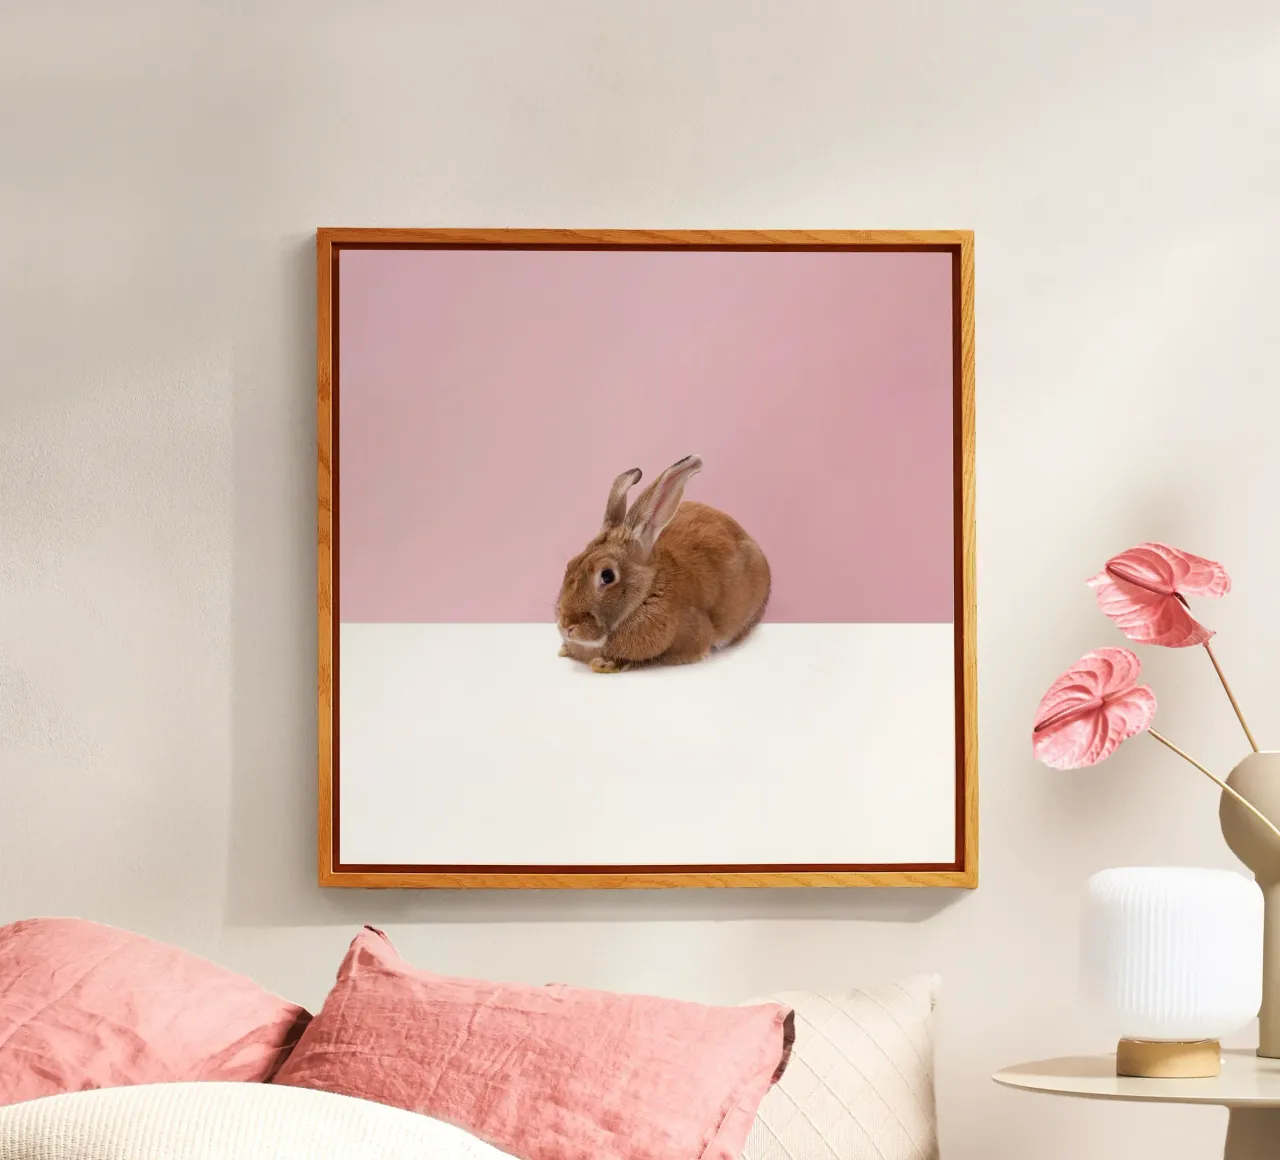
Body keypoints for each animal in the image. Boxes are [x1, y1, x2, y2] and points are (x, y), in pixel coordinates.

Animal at [556, 455, 771, 673]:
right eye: (570, 564)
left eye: (607, 576)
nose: (567, 625)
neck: (645, 593)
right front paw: (565, 650)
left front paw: (604, 663)